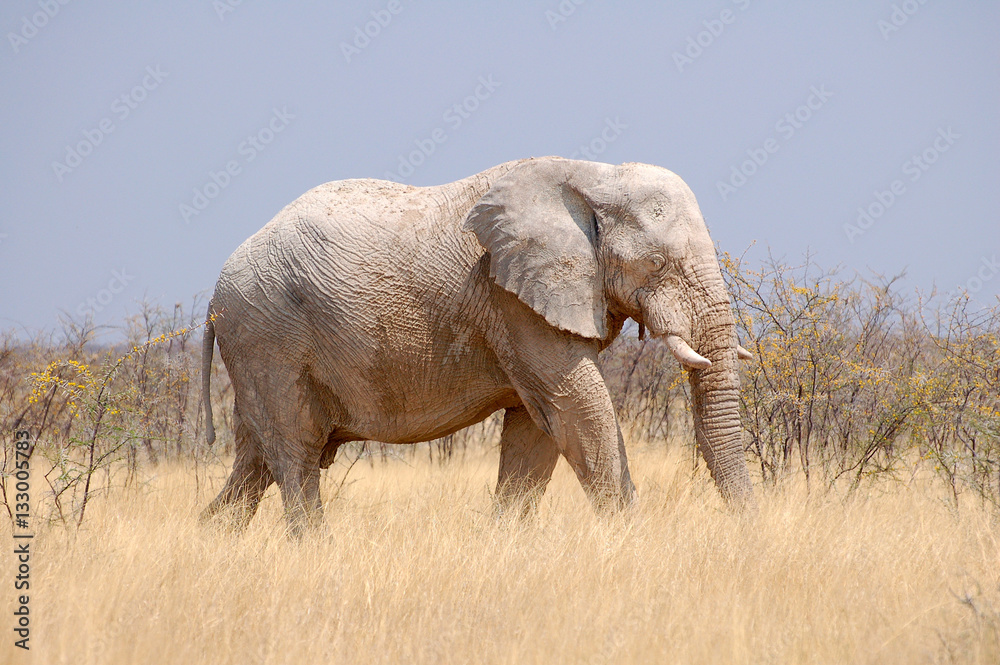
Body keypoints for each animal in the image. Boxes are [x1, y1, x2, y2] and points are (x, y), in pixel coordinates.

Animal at [200, 156, 755, 534]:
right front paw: (631, 539)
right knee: (295, 454)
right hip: (268, 337)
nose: (744, 532)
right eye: (658, 264)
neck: (595, 175)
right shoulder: (511, 298)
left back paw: (210, 537)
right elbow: (578, 408)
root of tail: (213, 296)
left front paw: (505, 542)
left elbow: (537, 429)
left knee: (255, 462)